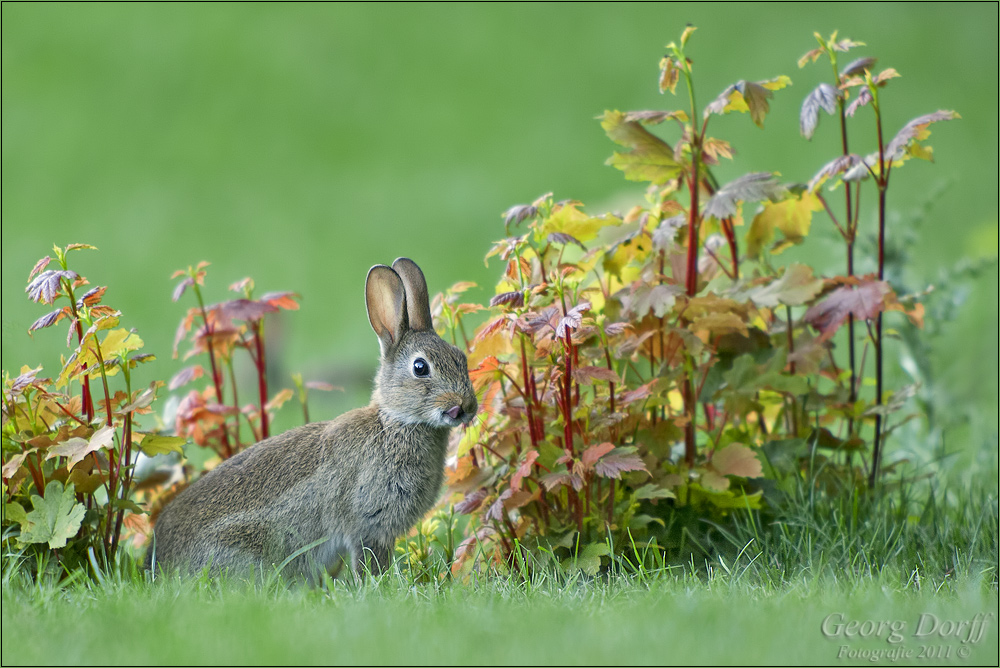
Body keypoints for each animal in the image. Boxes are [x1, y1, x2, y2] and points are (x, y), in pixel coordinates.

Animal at [145, 258, 480, 580]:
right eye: (420, 368)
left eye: (461, 357)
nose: (465, 406)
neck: (396, 423)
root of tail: (158, 561)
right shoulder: (369, 525)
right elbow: (369, 561)